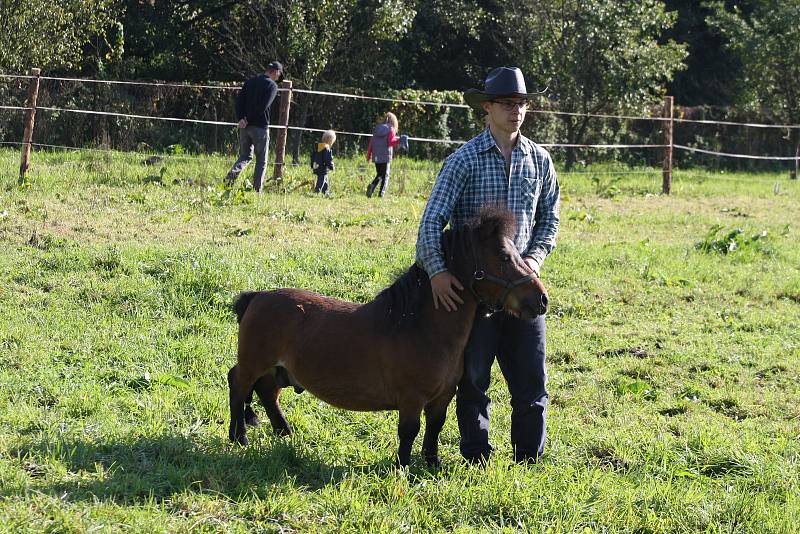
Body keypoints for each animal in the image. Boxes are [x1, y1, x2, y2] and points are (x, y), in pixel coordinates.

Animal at [228, 207, 548, 466]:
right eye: (504, 257)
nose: (541, 299)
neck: (422, 329)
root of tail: (257, 297)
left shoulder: (443, 397)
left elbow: (434, 428)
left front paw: (432, 465)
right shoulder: (411, 398)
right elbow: (409, 432)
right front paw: (403, 467)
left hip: (276, 369)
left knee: (267, 392)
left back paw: (284, 432)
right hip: (254, 364)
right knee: (238, 384)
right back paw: (239, 436)